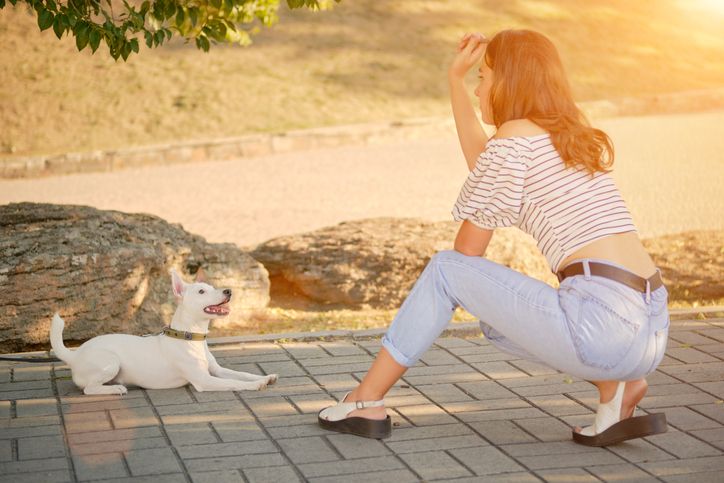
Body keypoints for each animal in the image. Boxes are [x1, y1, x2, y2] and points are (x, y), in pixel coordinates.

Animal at [49, 268, 278, 398]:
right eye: (201, 291)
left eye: (212, 286)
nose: (228, 291)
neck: (191, 337)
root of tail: (74, 354)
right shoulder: (205, 380)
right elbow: (236, 382)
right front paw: (256, 384)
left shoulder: (217, 371)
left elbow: (241, 374)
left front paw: (265, 377)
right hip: (110, 362)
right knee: (89, 389)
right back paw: (114, 390)